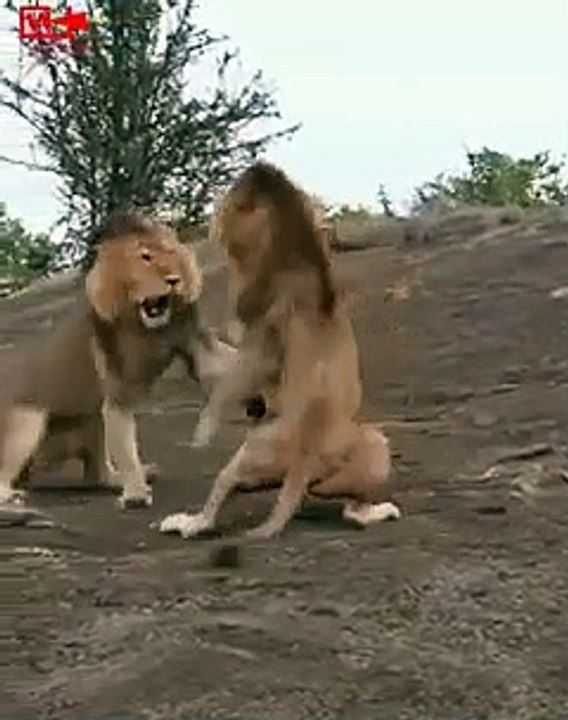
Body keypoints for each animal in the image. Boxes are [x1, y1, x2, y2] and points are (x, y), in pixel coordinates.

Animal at [0, 211, 232, 509]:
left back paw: (126, 476)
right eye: (145, 257)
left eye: (170, 253)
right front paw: (135, 493)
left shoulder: (192, 337)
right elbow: (125, 445)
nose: (174, 280)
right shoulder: (116, 388)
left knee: (96, 474)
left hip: (89, 420)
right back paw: (10, 496)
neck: (145, 327)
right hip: (29, 420)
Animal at [160, 163, 400, 539]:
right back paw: (374, 510)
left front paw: (201, 433)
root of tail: (306, 459)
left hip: (256, 449)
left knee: (222, 487)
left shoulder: (259, 335)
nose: (213, 225)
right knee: (352, 508)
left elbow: (229, 380)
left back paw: (188, 523)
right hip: (373, 443)